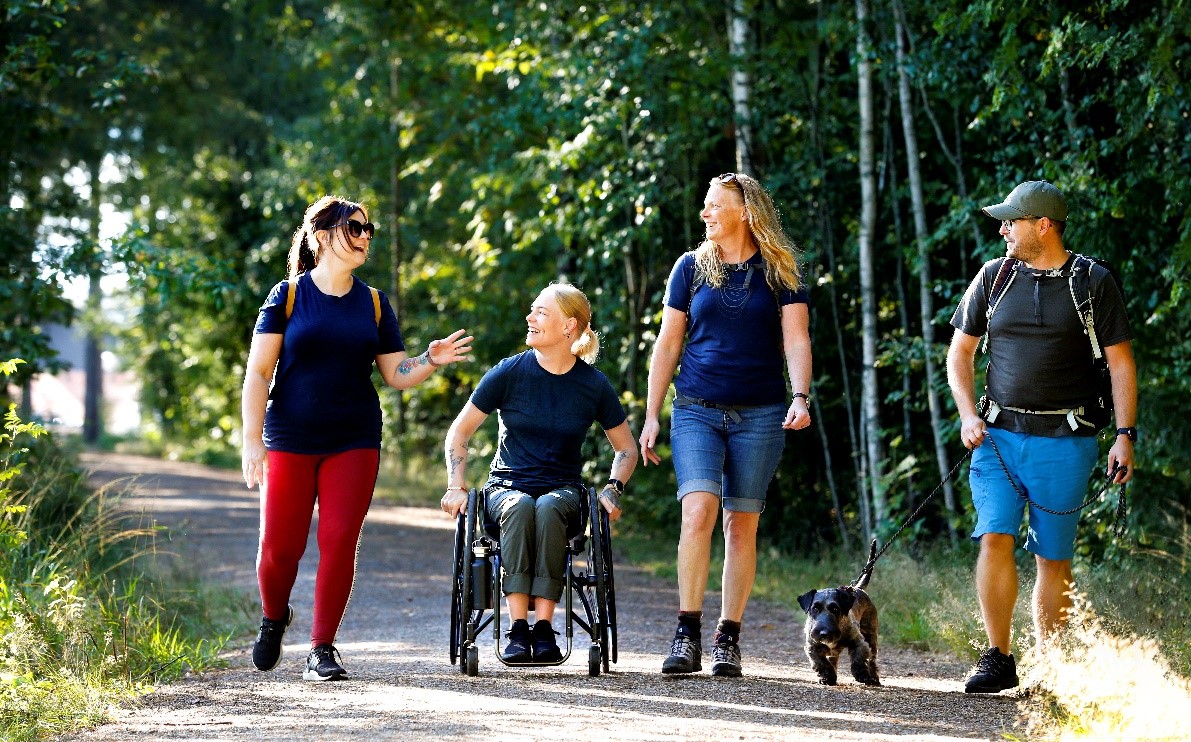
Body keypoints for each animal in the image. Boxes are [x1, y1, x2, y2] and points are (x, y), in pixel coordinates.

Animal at [795, 557, 881, 686]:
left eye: (835, 609)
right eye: (815, 608)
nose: (824, 633)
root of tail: (858, 588)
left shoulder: (859, 642)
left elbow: (858, 660)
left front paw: (862, 675)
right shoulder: (812, 648)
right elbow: (822, 663)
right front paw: (827, 678)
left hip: (871, 637)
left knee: (872, 660)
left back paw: (874, 679)